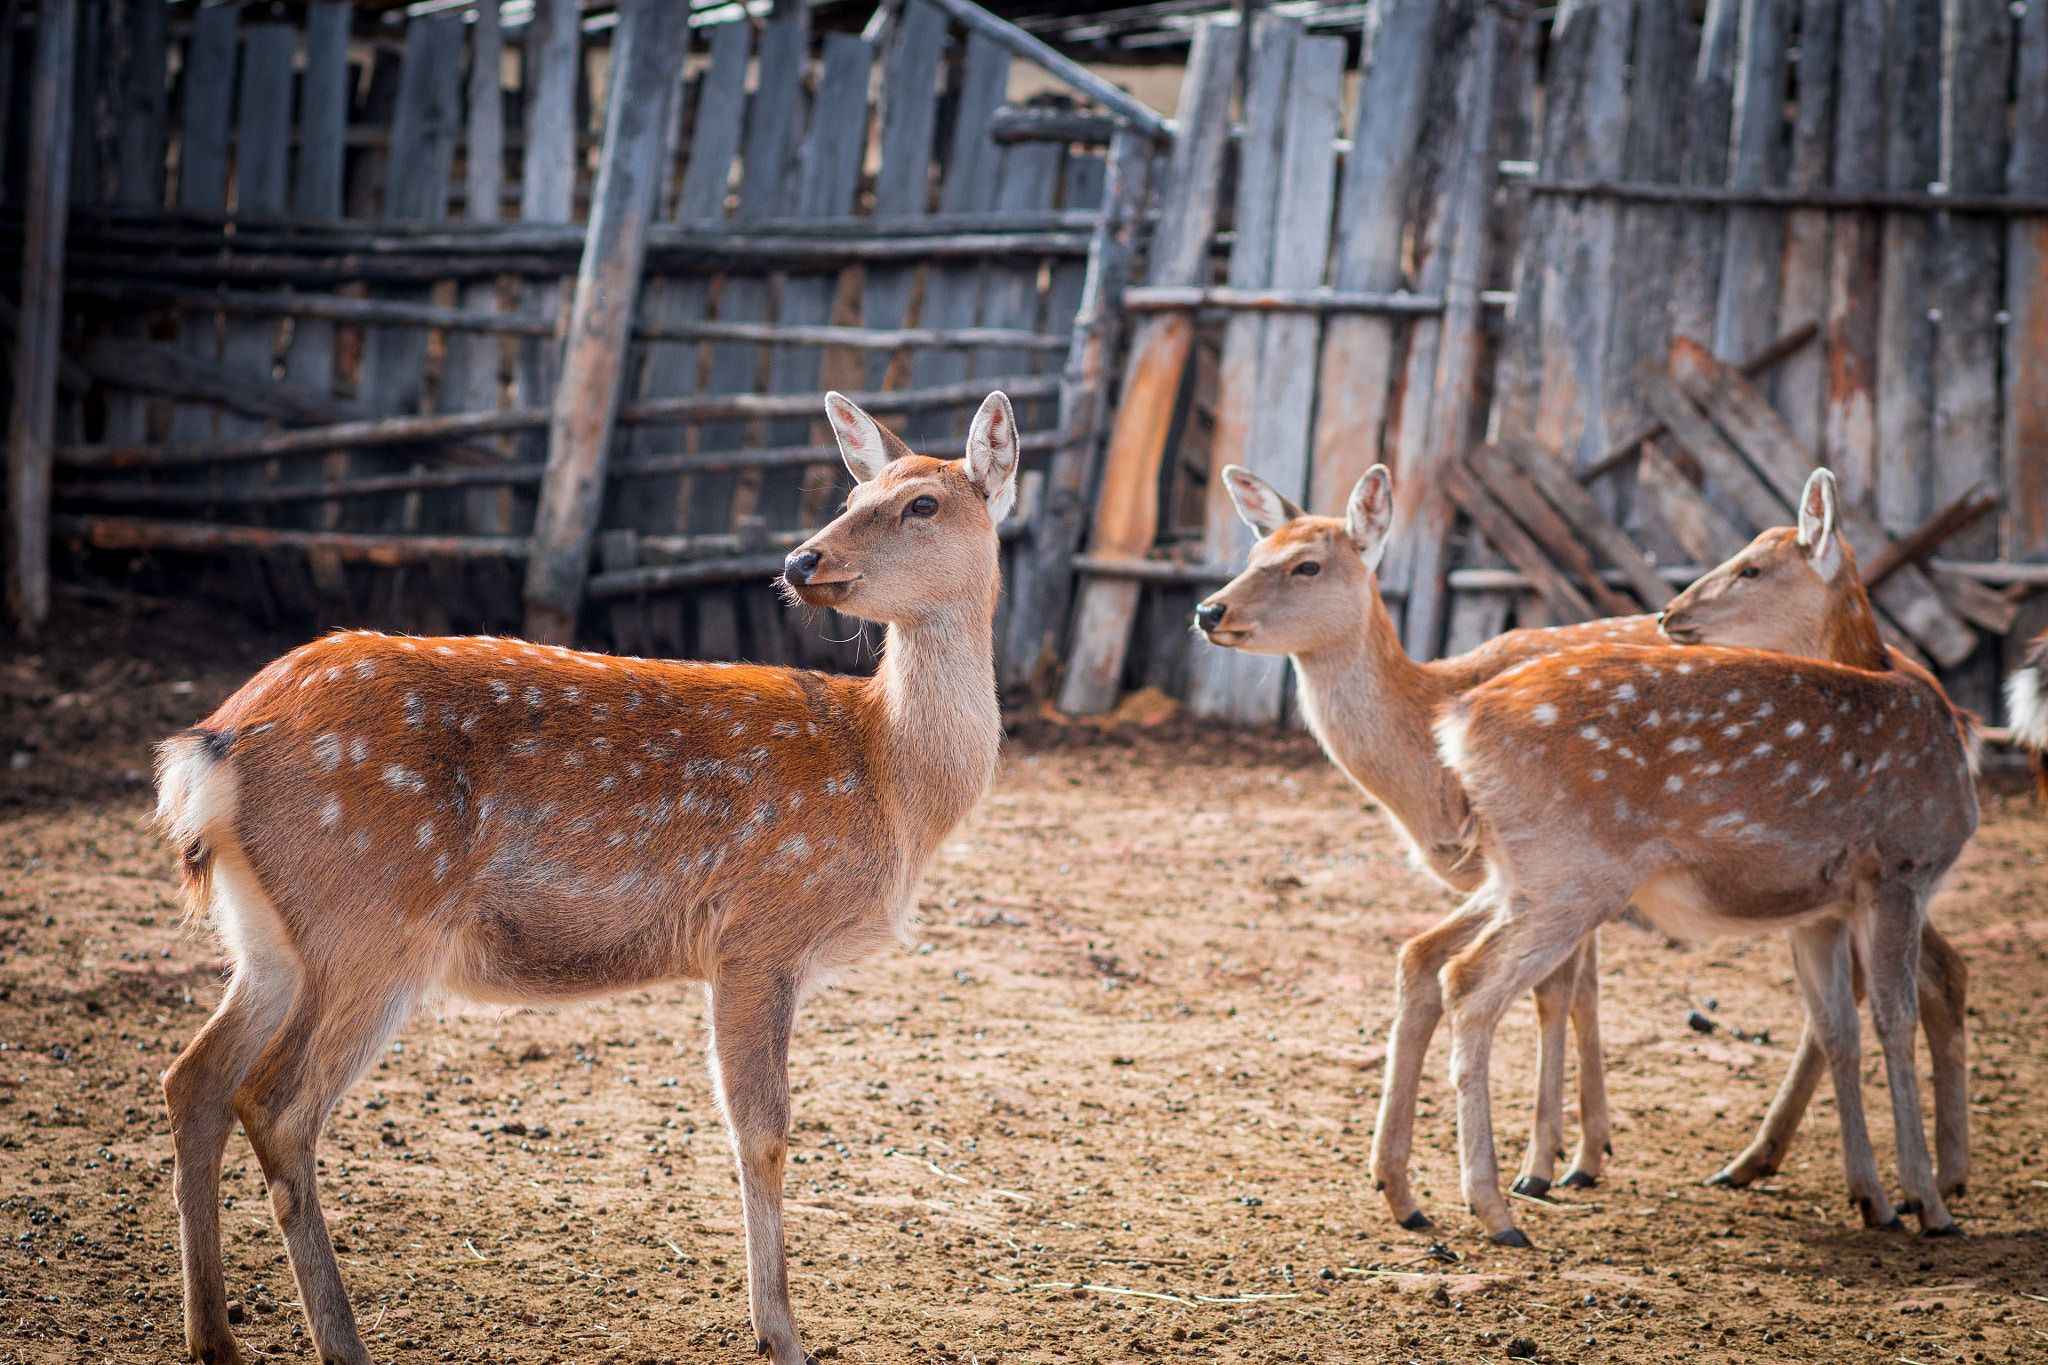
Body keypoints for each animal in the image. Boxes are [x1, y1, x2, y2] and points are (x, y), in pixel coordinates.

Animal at [153, 392, 1024, 1365]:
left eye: (922, 503)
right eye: (854, 492)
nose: (803, 561)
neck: (890, 780)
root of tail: (211, 746)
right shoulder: (761, 927)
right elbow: (761, 1129)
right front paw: (781, 1335)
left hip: (270, 933)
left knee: (194, 1080)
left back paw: (213, 1338)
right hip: (375, 917)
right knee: (276, 1103)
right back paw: (341, 1343)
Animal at [1196, 462, 1966, 1236]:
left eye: (1307, 564)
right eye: (1253, 551)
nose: (1208, 610)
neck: (1426, 751)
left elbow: (1560, 993)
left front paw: (1555, 1161)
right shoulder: (1515, 875)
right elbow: (1506, 979)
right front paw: (1558, 1158)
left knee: (1923, 976)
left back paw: (1917, 1183)